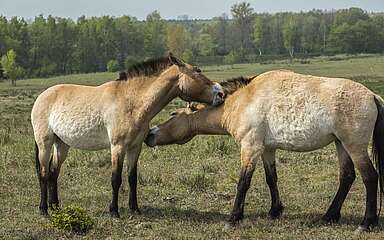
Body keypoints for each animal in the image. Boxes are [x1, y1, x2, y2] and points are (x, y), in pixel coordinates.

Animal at [32, 54, 225, 218]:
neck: (131, 102)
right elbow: (116, 179)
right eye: (198, 70)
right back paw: (44, 209)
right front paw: (114, 212)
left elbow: (132, 178)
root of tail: (42, 96)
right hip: (45, 143)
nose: (221, 94)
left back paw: (56, 207)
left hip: (62, 144)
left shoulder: (135, 147)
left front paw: (135, 209)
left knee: (54, 172)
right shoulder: (118, 147)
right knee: (44, 173)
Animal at [144, 70, 384, 232]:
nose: (149, 134)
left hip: (354, 146)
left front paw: (233, 218)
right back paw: (329, 216)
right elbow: (271, 179)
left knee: (370, 178)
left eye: (173, 114)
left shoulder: (250, 148)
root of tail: (373, 96)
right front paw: (274, 211)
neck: (242, 102)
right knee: (347, 177)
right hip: (341, 144)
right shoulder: (267, 149)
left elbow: (243, 183)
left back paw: (366, 223)